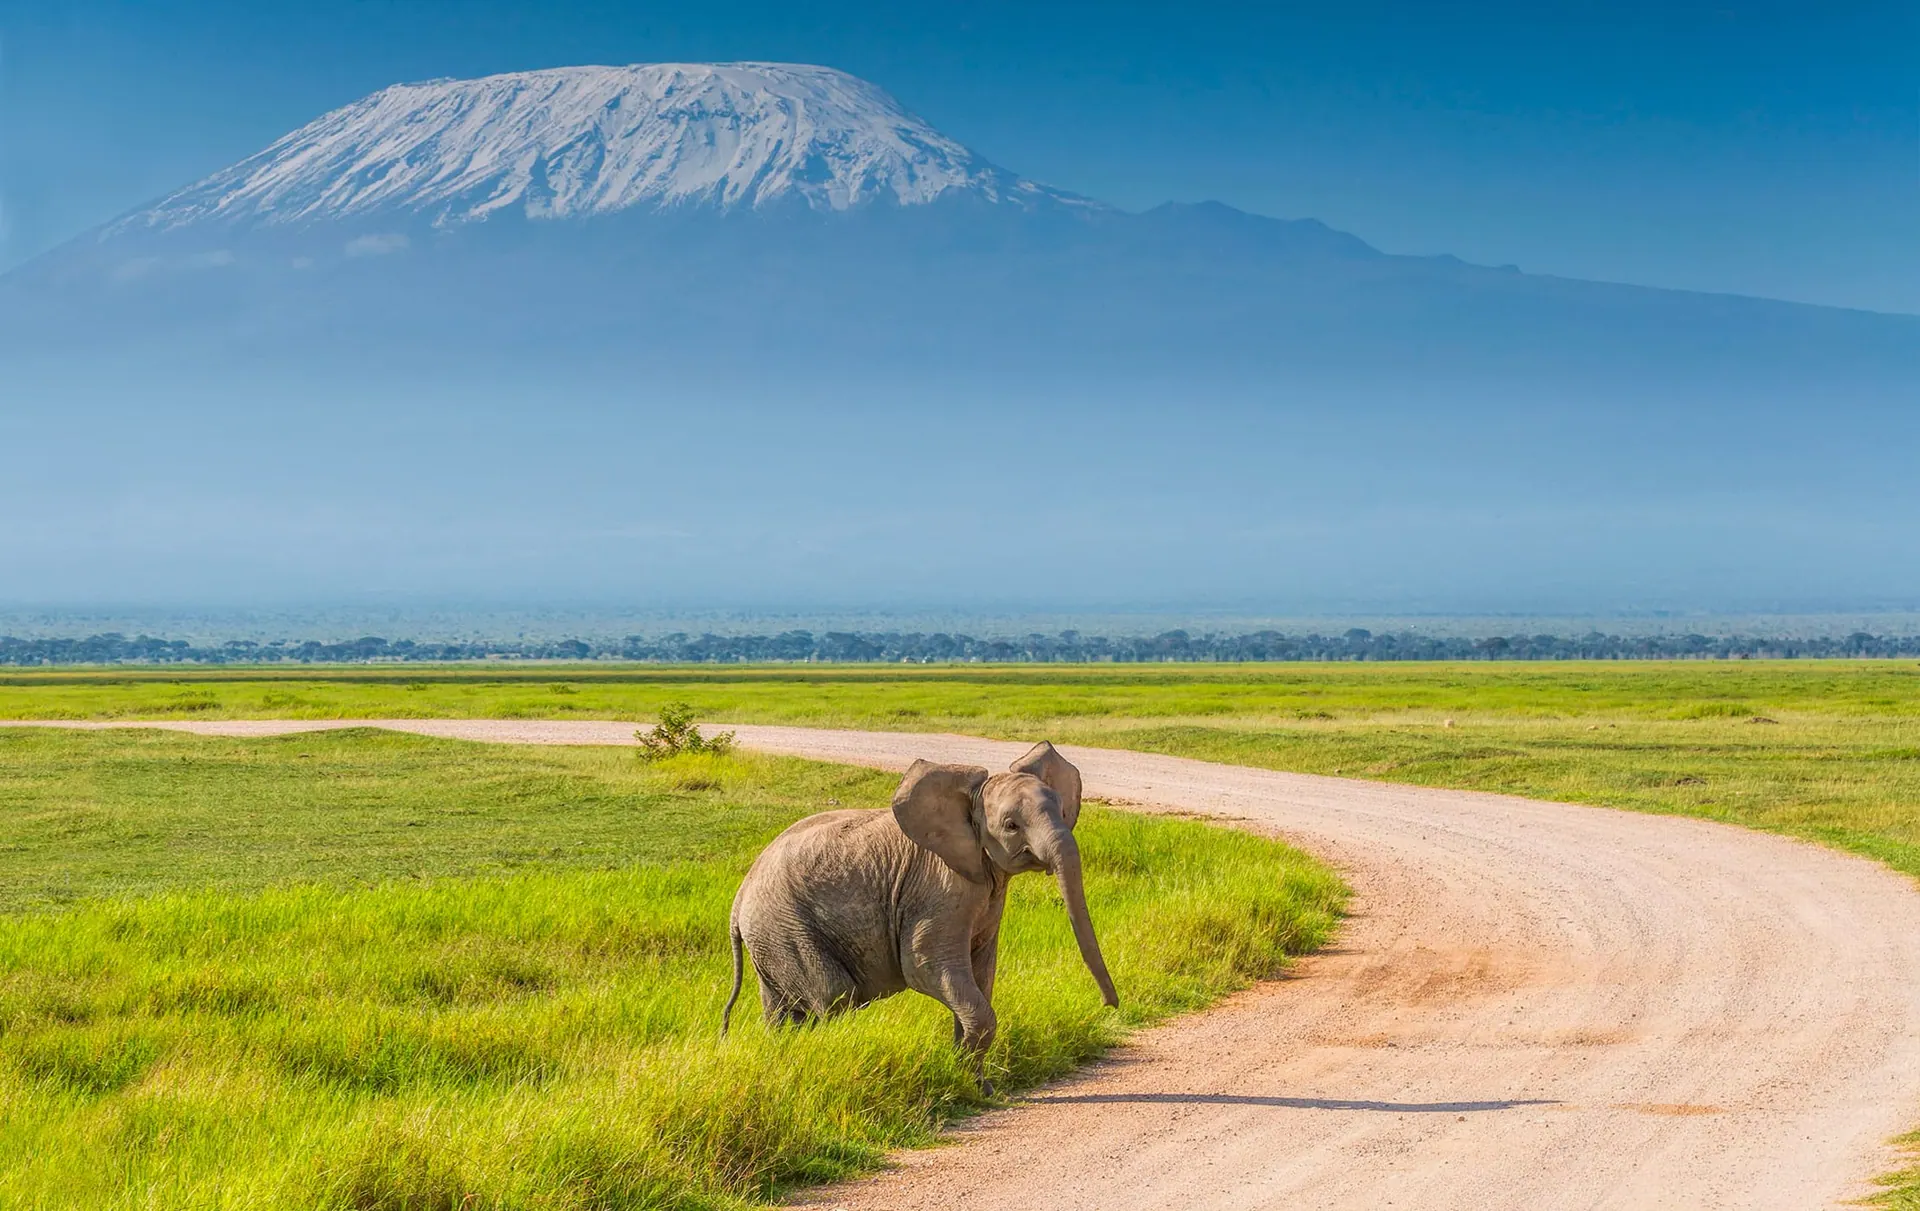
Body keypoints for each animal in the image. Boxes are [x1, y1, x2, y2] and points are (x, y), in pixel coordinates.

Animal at [722, 741, 1119, 1066]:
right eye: (1011, 825)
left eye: (1062, 810)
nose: (1109, 1006)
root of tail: (738, 900)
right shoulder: (937, 887)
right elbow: (926, 966)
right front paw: (962, 1077)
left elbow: (981, 973)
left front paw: (974, 1082)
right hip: (786, 928)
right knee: (833, 997)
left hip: (772, 938)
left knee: (782, 1011)